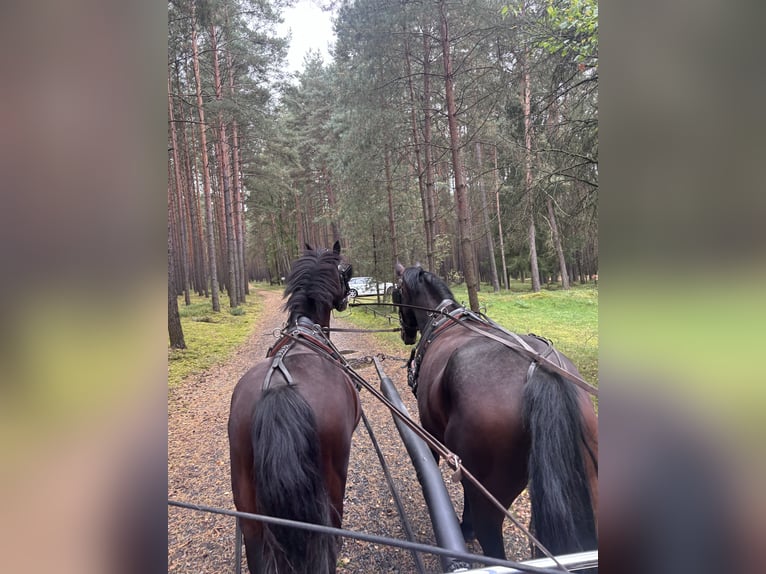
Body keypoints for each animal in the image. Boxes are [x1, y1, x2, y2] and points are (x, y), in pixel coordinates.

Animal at [393, 263, 598, 563]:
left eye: (394, 292)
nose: (405, 334)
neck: (443, 321)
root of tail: (543, 371)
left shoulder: (430, 430)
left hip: (491, 492)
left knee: (490, 534)